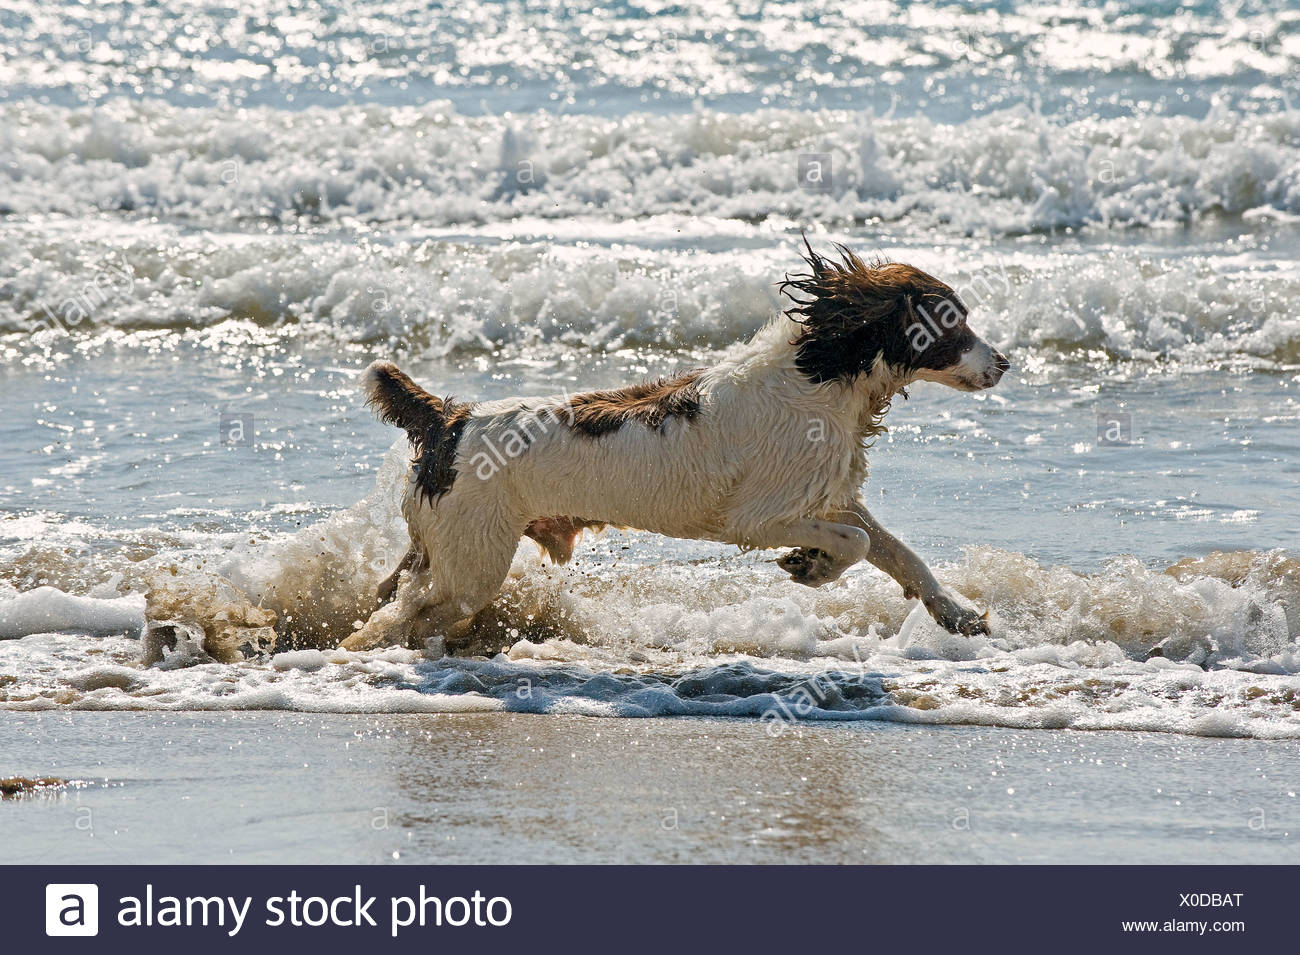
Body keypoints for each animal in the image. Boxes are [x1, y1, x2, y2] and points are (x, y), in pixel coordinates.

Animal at [342, 240, 1010, 653]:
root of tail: (446, 419)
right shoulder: (757, 518)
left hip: (440, 544)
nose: (1003, 363)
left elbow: (899, 551)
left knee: (389, 590)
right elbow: (858, 541)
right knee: (404, 611)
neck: (819, 376)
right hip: (473, 562)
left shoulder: (826, 493)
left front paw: (957, 613)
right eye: (951, 321)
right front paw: (812, 565)